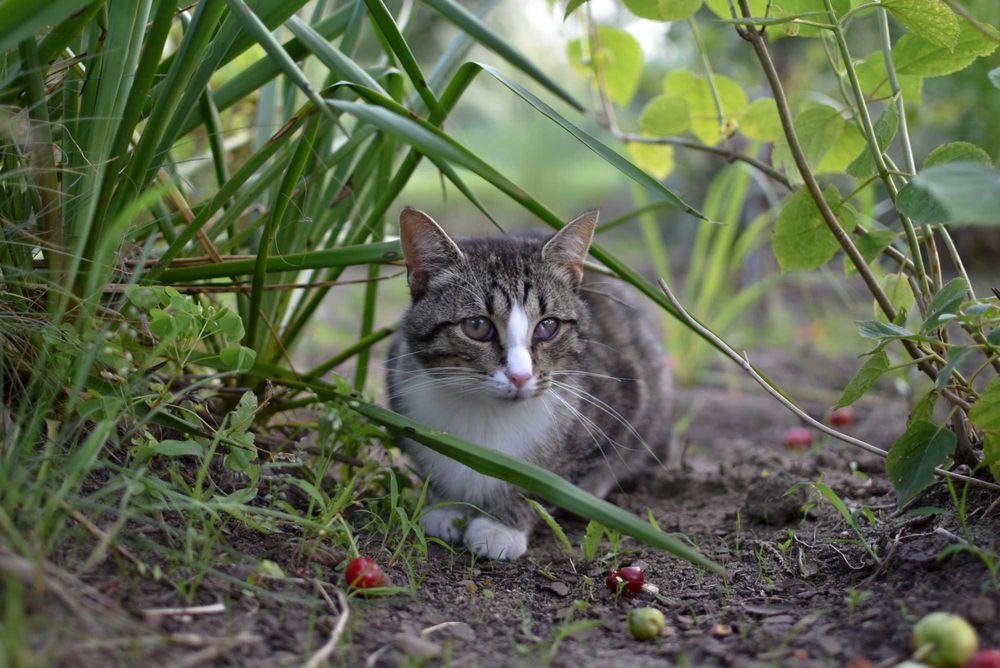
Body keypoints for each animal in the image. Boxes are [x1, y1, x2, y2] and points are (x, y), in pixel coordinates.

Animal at [384, 207, 672, 560]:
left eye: (548, 326)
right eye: (476, 325)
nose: (520, 376)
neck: (488, 414)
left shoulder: (624, 400)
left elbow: (547, 481)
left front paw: (500, 525)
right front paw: (447, 507)